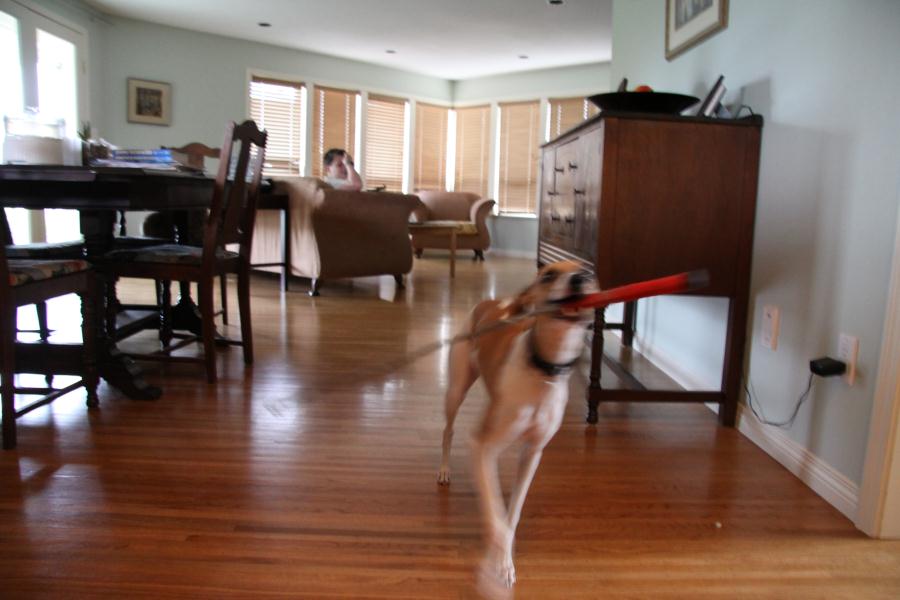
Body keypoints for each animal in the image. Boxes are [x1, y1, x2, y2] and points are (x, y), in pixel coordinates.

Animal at [437, 260, 596, 594]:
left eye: (589, 271)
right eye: (548, 275)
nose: (580, 278)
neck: (543, 371)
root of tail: (490, 302)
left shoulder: (532, 452)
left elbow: (511, 516)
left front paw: (504, 560)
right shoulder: (482, 446)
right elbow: (496, 518)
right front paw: (493, 573)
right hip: (457, 387)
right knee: (448, 430)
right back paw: (444, 470)